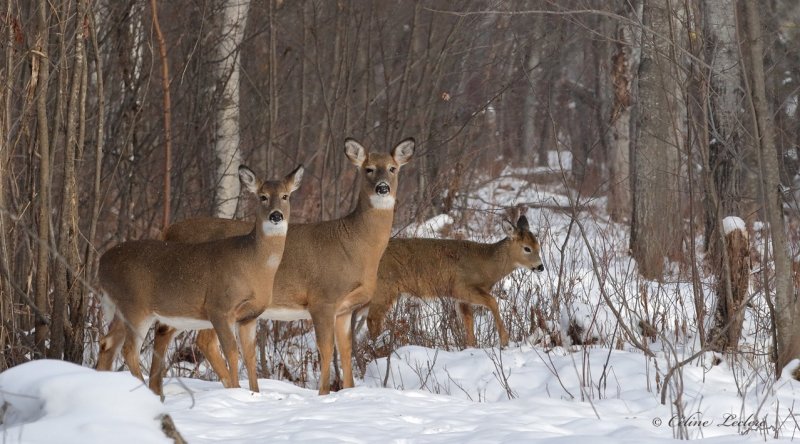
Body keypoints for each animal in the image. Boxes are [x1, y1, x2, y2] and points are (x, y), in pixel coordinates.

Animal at [96, 164, 304, 396]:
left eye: (285, 196)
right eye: (263, 196)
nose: (276, 215)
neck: (253, 264)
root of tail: (101, 263)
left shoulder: (249, 316)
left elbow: (249, 355)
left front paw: (254, 394)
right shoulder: (219, 307)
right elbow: (231, 352)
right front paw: (235, 391)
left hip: (122, 309)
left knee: (107, 343)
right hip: (135, 307)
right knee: (129, 350)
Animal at [153, 137, 416, 394]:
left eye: (392, 168)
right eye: (368, 169)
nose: (383, 187)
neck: (355, 245)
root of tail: (167, 231)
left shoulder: (345, 308)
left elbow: (346, 350)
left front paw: (349, 392)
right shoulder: (323, 298)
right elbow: (326, 348)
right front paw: (324, 394)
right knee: (196, 339)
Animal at [364, 212, 544, 350]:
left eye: (538, 246)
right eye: (527, 248)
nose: (540, 267)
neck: (486, 267)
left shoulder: (462, 299)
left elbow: (468, 322)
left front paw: (471, 347)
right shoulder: (461, 287)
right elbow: (492, 302)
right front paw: (504, 341)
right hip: (385, 287)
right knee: (372, 319)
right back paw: (379, 349)